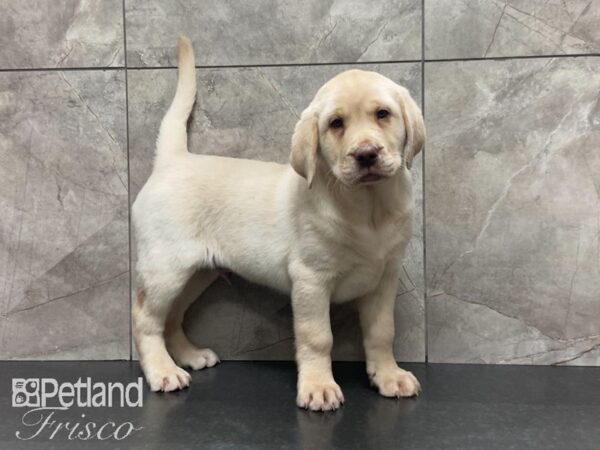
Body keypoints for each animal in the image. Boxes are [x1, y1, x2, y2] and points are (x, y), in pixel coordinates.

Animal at [134, 38, 424, 412]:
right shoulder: (311, 279)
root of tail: (173, 159)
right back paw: (163, 371)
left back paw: (189, 356)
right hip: (166, 267)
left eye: (383, 114)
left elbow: (382, 331)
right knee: (146, 318)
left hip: (197, 272)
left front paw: (388, 376)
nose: (366, 154)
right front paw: (318, 387)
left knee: (171, 316)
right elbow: (318, 337)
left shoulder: (383, 277)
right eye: (336, 123)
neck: (367, 206)